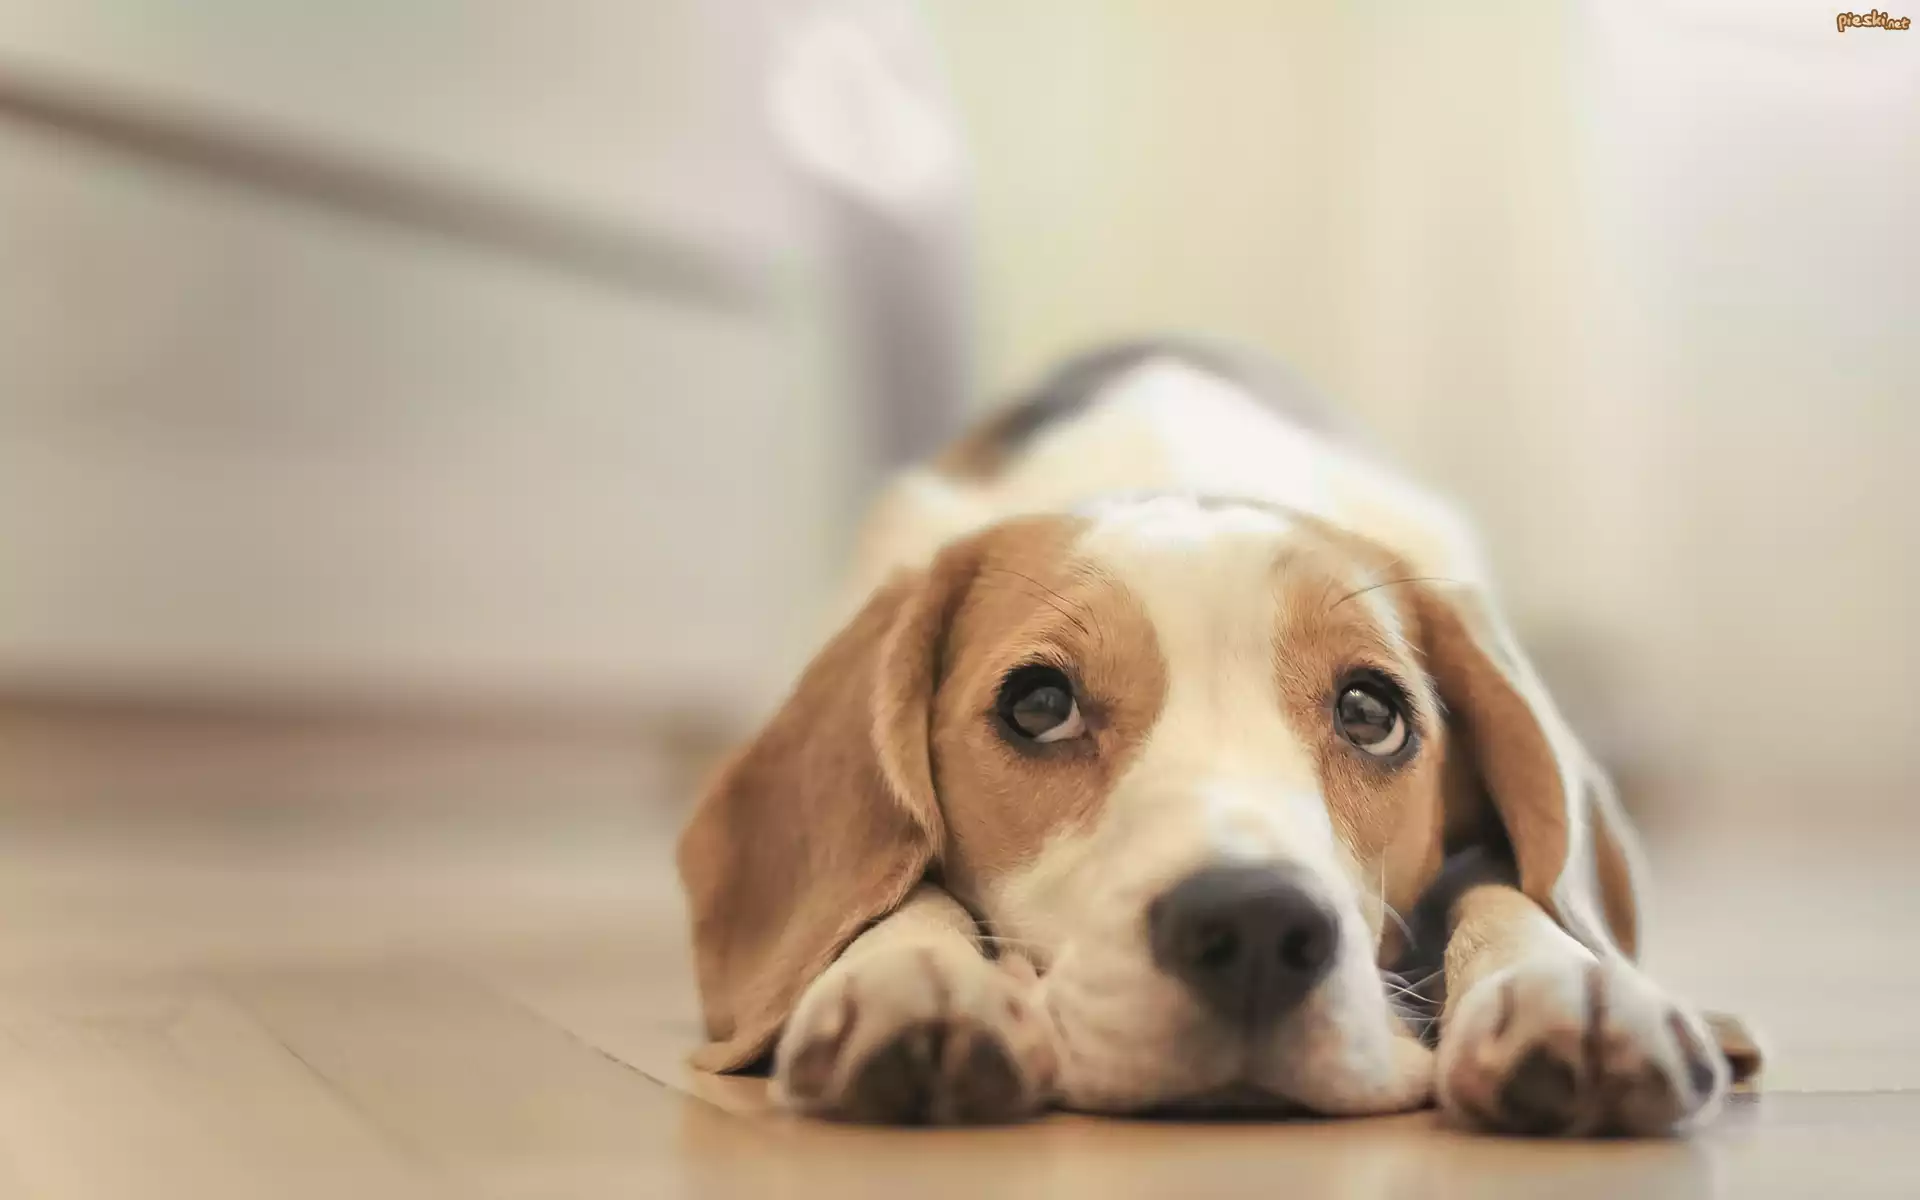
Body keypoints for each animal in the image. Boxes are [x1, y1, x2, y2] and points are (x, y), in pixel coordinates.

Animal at [677, 340, 1761, 1132]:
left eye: (1372, 714)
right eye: (1038, 706)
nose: (1255, 929)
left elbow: (1509, 888)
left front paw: (1567, 987)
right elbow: (902, 885)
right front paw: (915, 975)